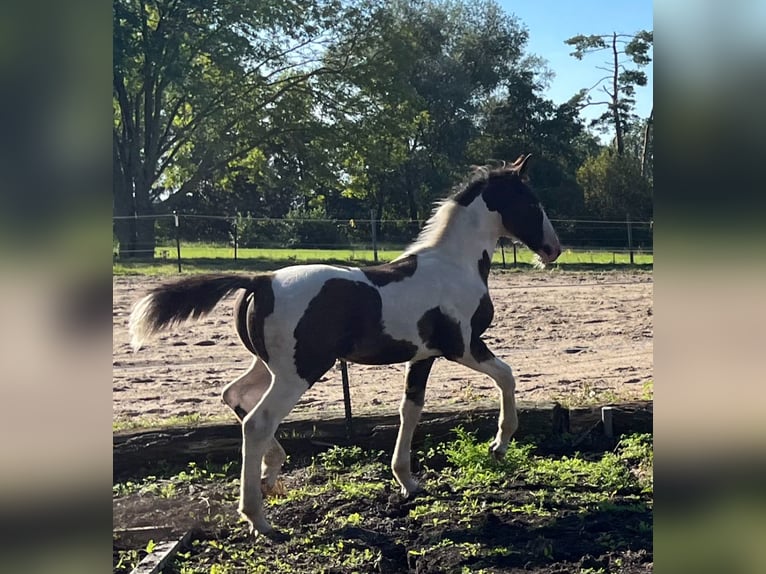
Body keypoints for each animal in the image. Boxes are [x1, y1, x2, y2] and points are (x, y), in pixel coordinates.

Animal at [130, 155, 564, 536]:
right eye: (532, 202)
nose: (554, 249)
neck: (453, 264)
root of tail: (261, 281)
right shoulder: (464, 346)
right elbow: (507, 377)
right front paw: (499, 445)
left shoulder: (423, 356)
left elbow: (410, 410)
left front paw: (407, 481)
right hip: (299, 373)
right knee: (257, 421)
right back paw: (258, 518)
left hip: (269, 366)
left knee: (234, 395)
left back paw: (272, 472)